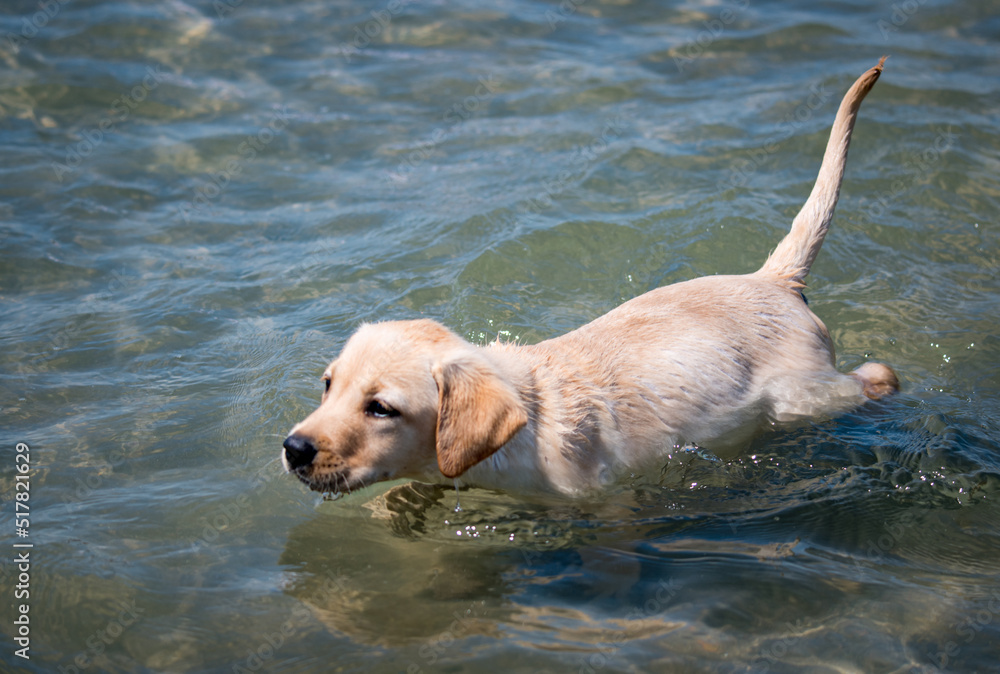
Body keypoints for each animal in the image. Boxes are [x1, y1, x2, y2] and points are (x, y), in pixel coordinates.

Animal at [282, 57, 900, 496]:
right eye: (328, 385)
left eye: (380, 409)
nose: (293, 448)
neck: (526, 419)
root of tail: (773, 279)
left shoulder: (603, 504)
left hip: (807, 395)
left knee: (877, 377)